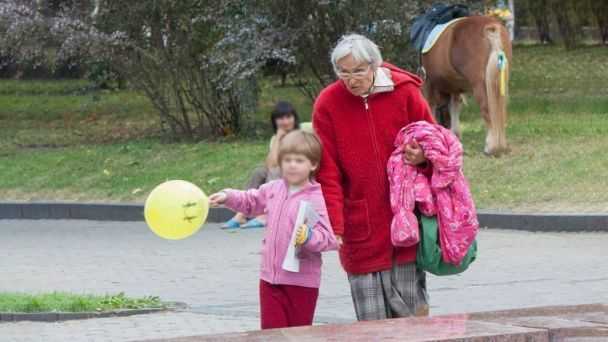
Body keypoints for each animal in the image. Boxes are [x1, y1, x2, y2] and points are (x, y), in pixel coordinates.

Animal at [420, 15, 510, 156]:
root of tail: (491, 27)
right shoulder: (454, 87)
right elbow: (455, 107)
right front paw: (455, 135)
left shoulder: (429, 83)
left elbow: (431, 106)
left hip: (479, 84)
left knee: (487, 110)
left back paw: (491, 147)